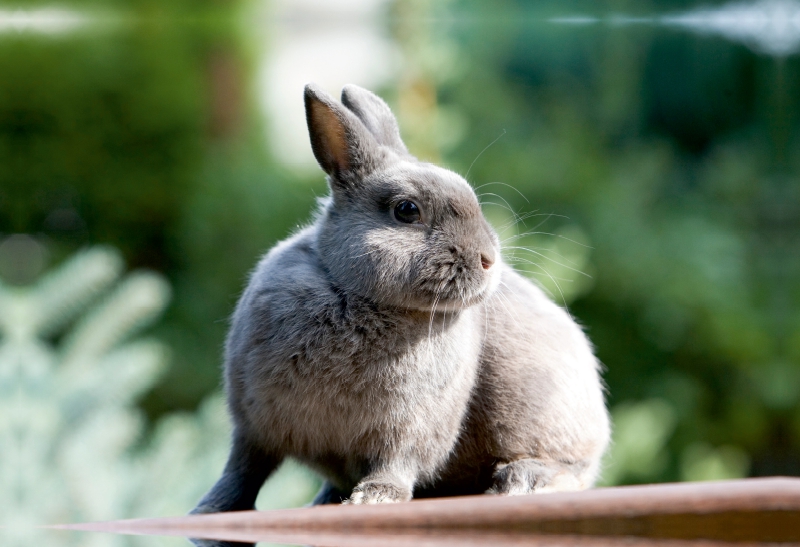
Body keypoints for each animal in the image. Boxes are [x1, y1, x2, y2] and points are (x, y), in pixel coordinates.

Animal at [192, 83, 608, 516]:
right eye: (406, 210)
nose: (488, 259)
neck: (355, 295)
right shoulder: (253, 425)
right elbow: (242, 472)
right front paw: (209, 509)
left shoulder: (409, 427)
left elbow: (395, 462)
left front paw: (374, 497)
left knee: (573, 472)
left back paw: (521, 481)